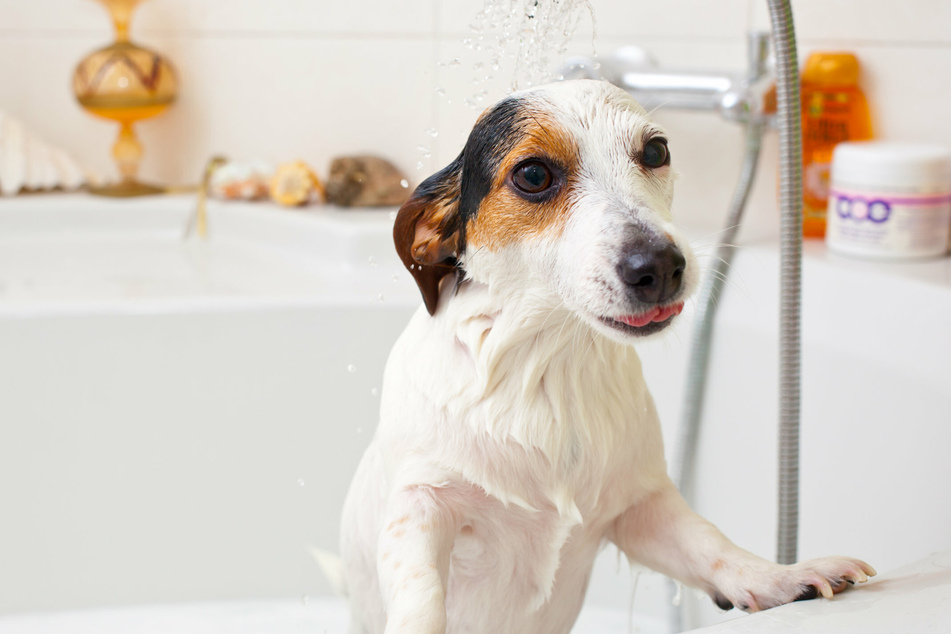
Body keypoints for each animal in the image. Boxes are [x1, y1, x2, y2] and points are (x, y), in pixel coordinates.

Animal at [338, 80, 872, 632]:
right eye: (533, 175)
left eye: (655, 151)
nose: (660, 266)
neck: (545, 373)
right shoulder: (421, 505)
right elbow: (421, 595)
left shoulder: (642, 508)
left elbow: (712, 545)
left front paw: (779, 577)